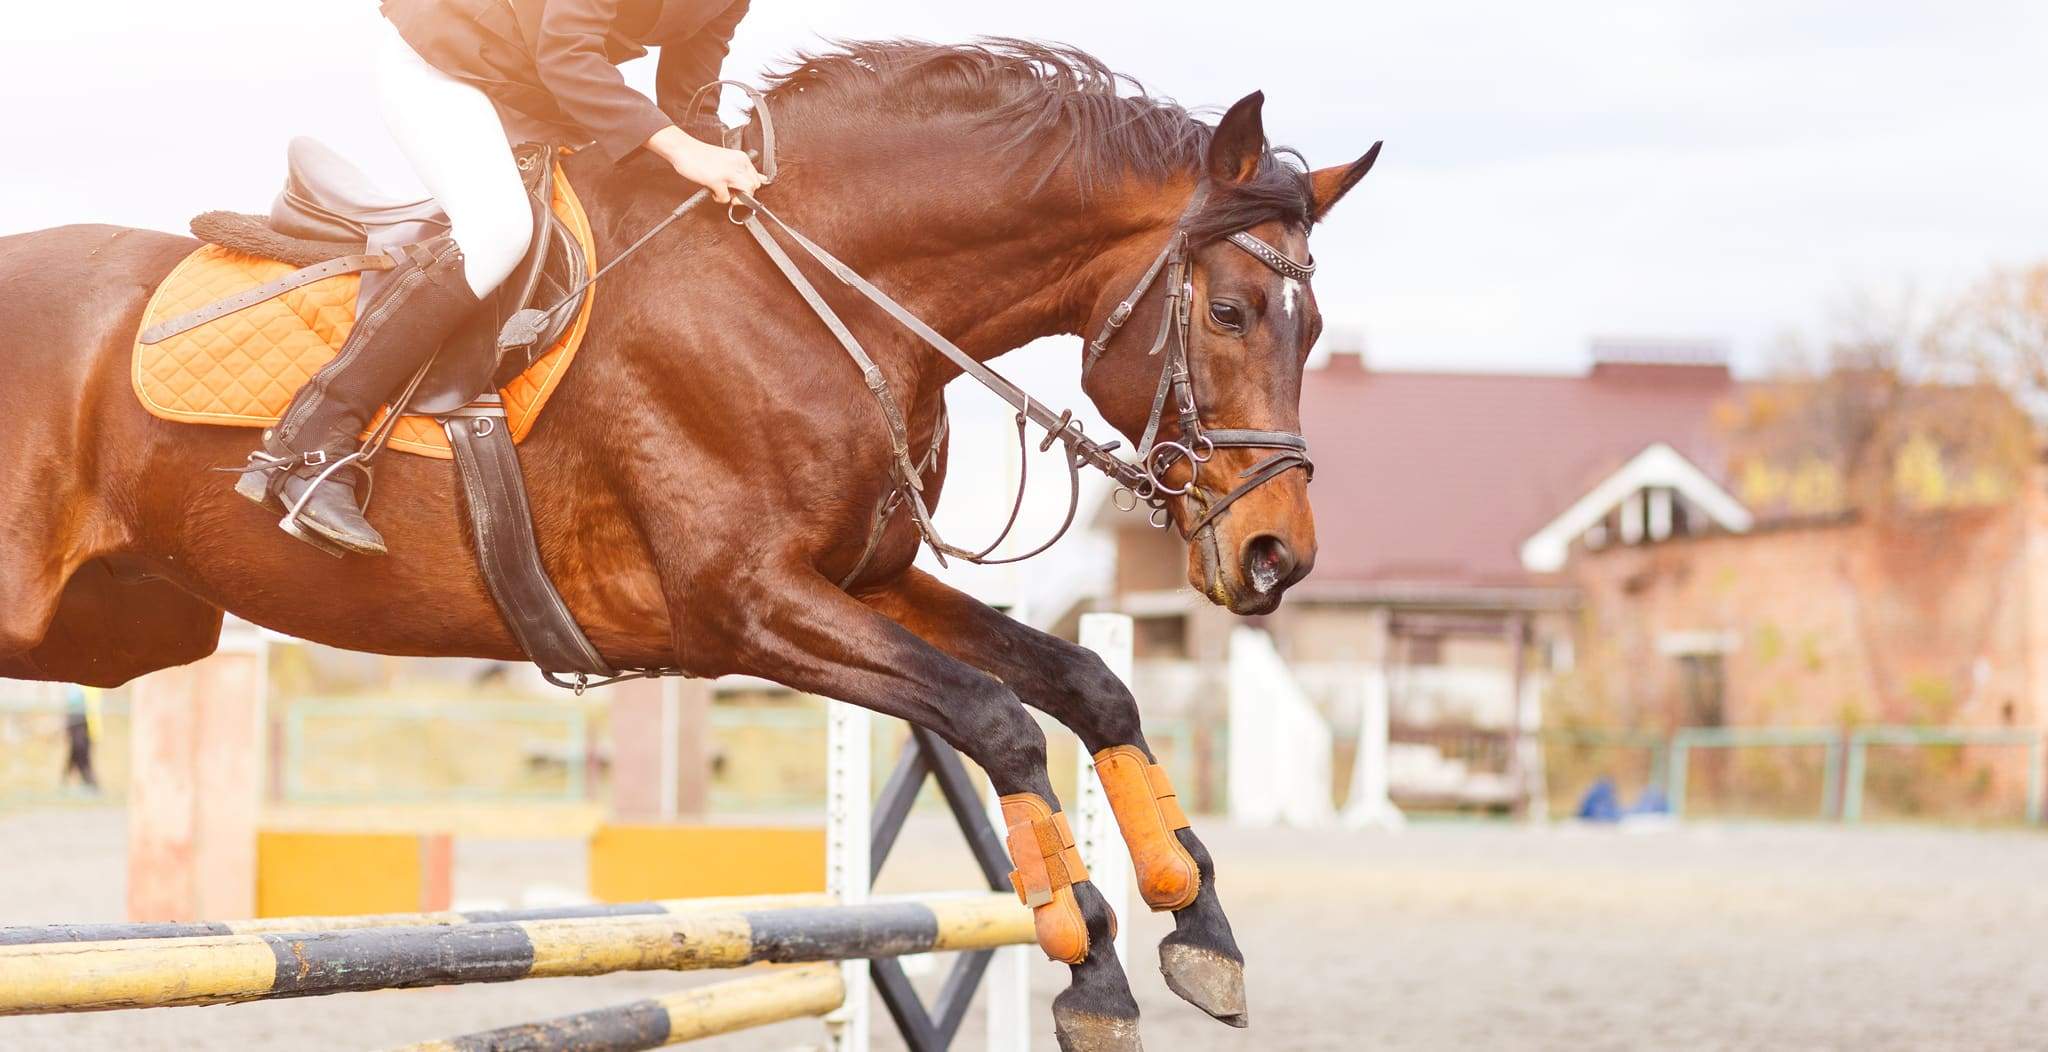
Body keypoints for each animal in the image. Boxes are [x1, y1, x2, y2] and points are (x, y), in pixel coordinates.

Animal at [4, 38, 1376, 1039]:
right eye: (1233, 309)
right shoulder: (746, 605)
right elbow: (995, 718)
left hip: (113, 628)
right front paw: (1091, 965)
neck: (815, 294)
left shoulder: (867, 578)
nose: (1276, 555)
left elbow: (1085, 684)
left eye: (1313, 328)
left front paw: (1199, 928)